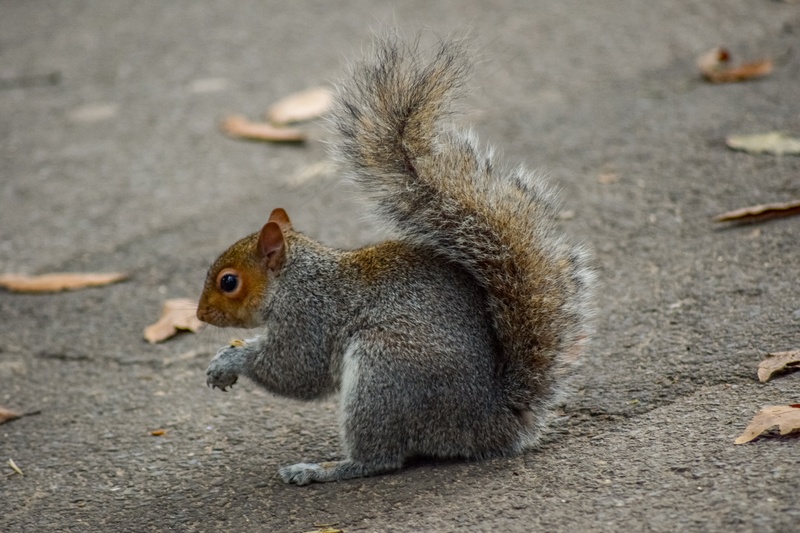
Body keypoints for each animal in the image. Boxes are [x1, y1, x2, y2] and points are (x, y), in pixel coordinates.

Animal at [195, 35, 592, 484]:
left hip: (382, 373)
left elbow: (296, 370)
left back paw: (323, 469)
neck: (296, 278)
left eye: (229, 281)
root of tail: (487, 422)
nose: (200, 315)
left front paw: (232, 359)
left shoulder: (310, 316)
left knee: (379, 458)